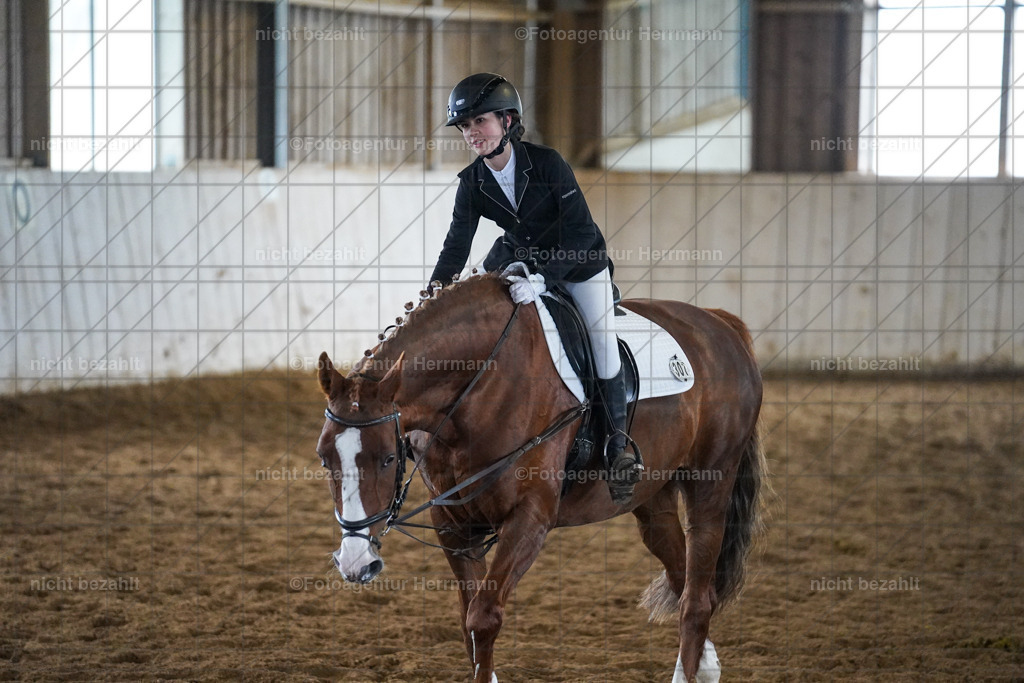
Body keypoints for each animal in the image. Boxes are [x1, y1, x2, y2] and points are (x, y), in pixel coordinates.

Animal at [314, 273, 766, 682]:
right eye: (323, 459)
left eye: (389, 459)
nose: (355, 564)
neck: (477, 388)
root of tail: (719, 322)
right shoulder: (454, 524)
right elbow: (467, 622)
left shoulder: (529, 518)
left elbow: (483, 618)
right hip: (650, 496)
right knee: (682, 576)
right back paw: (706, 665)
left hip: (711, 482)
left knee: (696, 600)